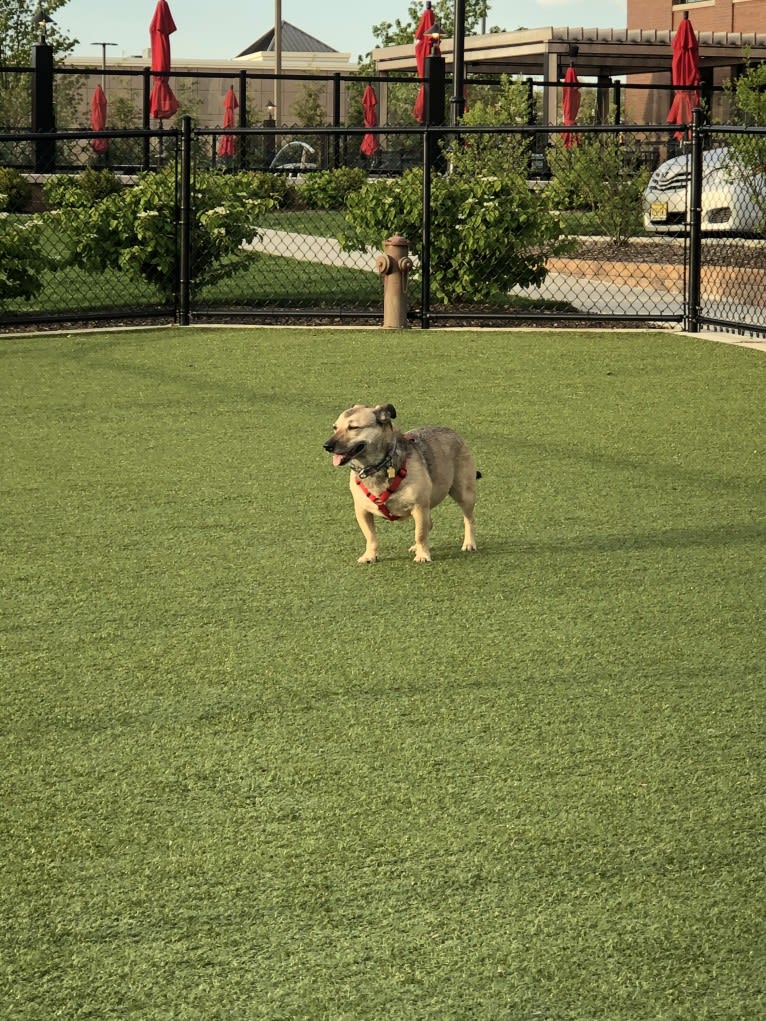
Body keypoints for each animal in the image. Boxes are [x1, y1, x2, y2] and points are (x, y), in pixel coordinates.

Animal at [324, 404, 480, 567]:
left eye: (353, 427)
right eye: (335, 428)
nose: (327, 446)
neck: (376, 468)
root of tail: (453, 432)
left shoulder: (419, 506)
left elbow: (420, 534)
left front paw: (423, 555)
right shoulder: (362, 511)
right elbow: (370, 536)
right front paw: (370, 555)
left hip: (464, 493)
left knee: (468, 519)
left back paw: (469, 543)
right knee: (429, 523)